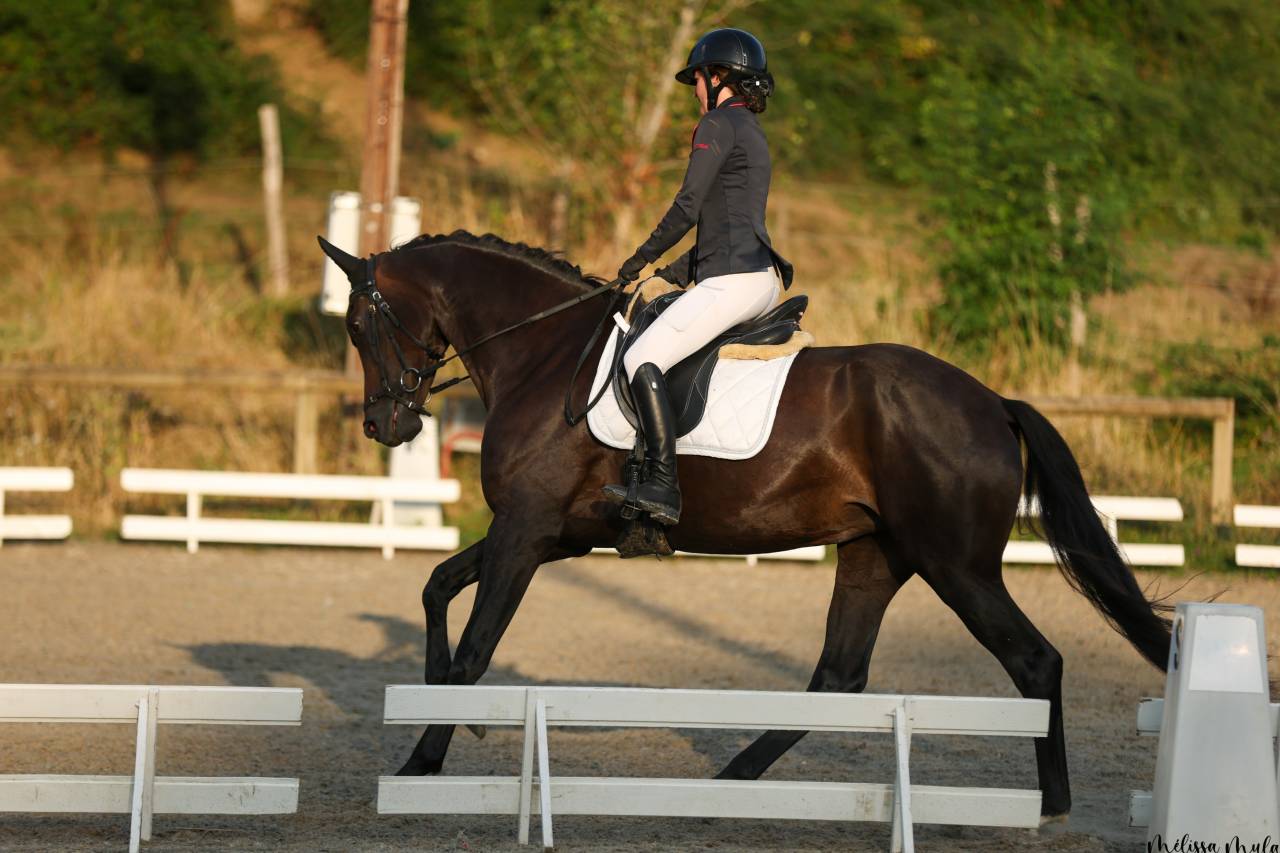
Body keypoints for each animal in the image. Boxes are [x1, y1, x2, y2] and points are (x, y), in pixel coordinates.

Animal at [318, 229, 1170, 823]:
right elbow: (436, 587)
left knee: (1034, 660)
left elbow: (475, 650)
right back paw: (727, 781)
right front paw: (442, 715)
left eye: (359, 327)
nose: (386, 427)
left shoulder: (527, 529)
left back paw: (1051, 806)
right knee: (839, 675)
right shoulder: (552, 532)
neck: (545, 352)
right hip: (877, 553)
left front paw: (424, 759)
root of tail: (993, 401)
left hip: (956, 565)